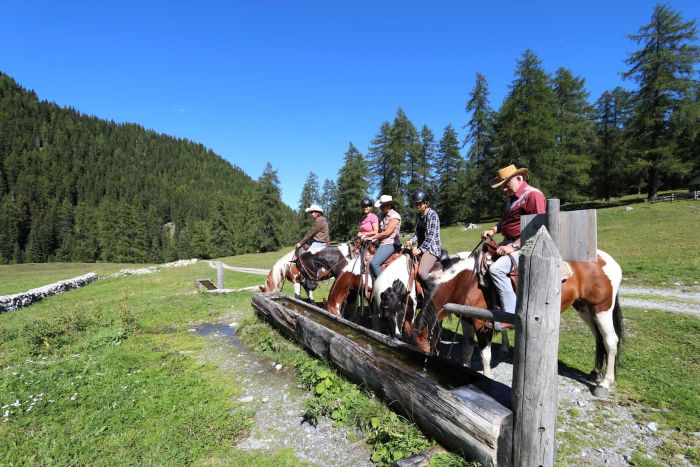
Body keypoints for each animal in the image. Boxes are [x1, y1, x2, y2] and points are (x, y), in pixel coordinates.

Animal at [400, 250, 624, 396]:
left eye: (423, 351)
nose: (422, 367)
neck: (466, 282)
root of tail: (609, 261)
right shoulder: (466, 320)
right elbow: (467, 348)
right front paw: (464, 368)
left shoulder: (482, 323)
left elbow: (485, 354)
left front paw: (487, 377)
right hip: (584, 307)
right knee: (598, 338)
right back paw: (596, 372)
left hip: (601, 308)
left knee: (610, 340)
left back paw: (605, 383)